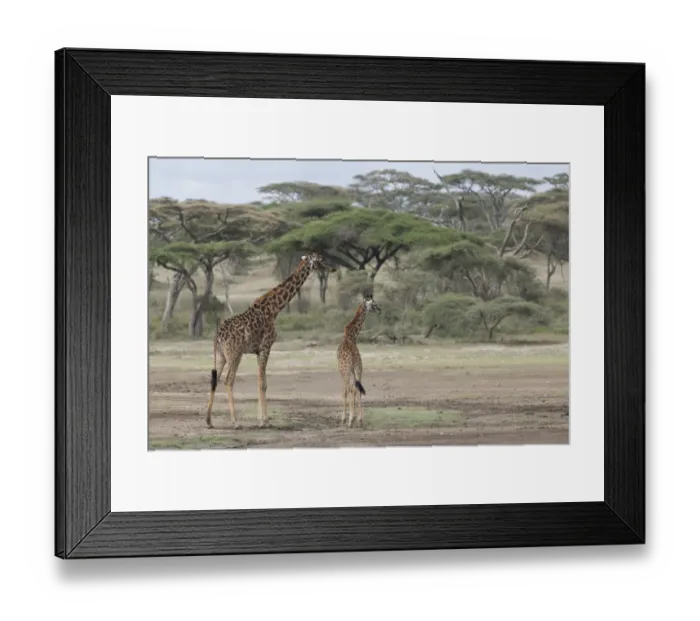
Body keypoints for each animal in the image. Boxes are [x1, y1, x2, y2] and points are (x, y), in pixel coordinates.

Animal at [204, 253, 336, 429]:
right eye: (320, 260)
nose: (333, 268)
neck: (275, 308)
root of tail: (217, 336)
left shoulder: (258, 351)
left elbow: (262, 382)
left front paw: (263, 419)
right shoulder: (267, 346)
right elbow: (262, 383)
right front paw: (263, 421)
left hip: (221, 356)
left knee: (214, 380)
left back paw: (209, 422)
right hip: (235, 354)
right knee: (228, 381)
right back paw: (235, 422)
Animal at [337, 291, 381, 428]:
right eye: (374, 304)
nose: (379, 310)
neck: (351, 335)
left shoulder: (342, 370)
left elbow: (345, 392)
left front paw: (344, 419)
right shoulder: (354, 369)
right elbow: (355, 390)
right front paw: (356, 418)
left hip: (346, 370)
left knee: (350, 389)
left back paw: (350, 421)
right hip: (359, 368)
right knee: (358, 389)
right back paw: (360, 420)